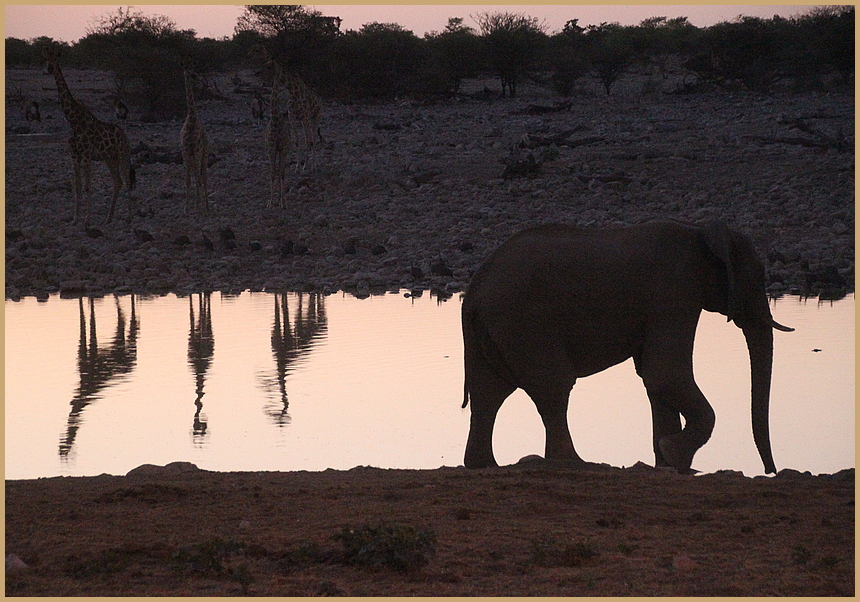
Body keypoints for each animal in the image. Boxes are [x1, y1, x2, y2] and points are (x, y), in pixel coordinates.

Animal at [43, 44, 135, 223]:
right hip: (110, 158)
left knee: (127, 181)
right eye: (45, 58)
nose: (50, 69)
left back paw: (128, 217)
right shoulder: (74, 155)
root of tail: (124, 135)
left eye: (56, 58)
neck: (73, 120)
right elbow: (78, 187)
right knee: (117, 182)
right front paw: (75, 219)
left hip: (123, 154)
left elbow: (87, 187)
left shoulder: (86, 156)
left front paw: (87, 220)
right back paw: (108, 218)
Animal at [464, 220, 792, 474]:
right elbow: (666, 374)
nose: (770, 472)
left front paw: (669, 463)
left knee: (488, 394)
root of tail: (474, 289)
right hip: (524, 322)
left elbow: (654, 380)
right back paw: (575, 463)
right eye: (757, 278)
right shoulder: (675, 290)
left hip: (493, 330)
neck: (699, 232)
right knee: (552, 386)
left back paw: (484, 464)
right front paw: (675, 455)